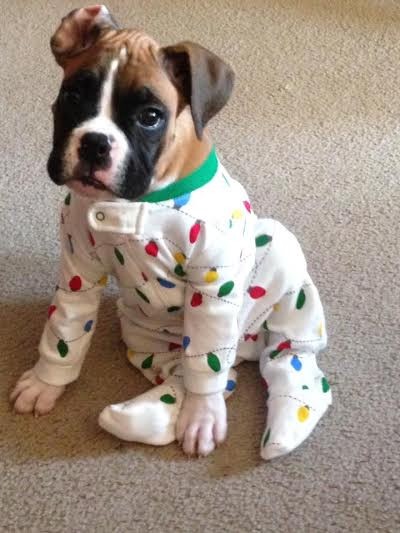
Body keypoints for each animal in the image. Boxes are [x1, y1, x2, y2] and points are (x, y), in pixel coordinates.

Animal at [10, 5, 332, 459]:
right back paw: (137, 417)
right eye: (73, 97)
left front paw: (202, 418)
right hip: (146, 339)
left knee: (277, 351)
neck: (141, 199)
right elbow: (65, 330)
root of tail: (247, 349)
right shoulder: (78, 271)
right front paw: (44, 382)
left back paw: (282, 413)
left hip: (280, 267)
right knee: (198, 373)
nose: (94, 143)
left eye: (150, 117)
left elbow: (205, 364)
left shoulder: (212, 286)